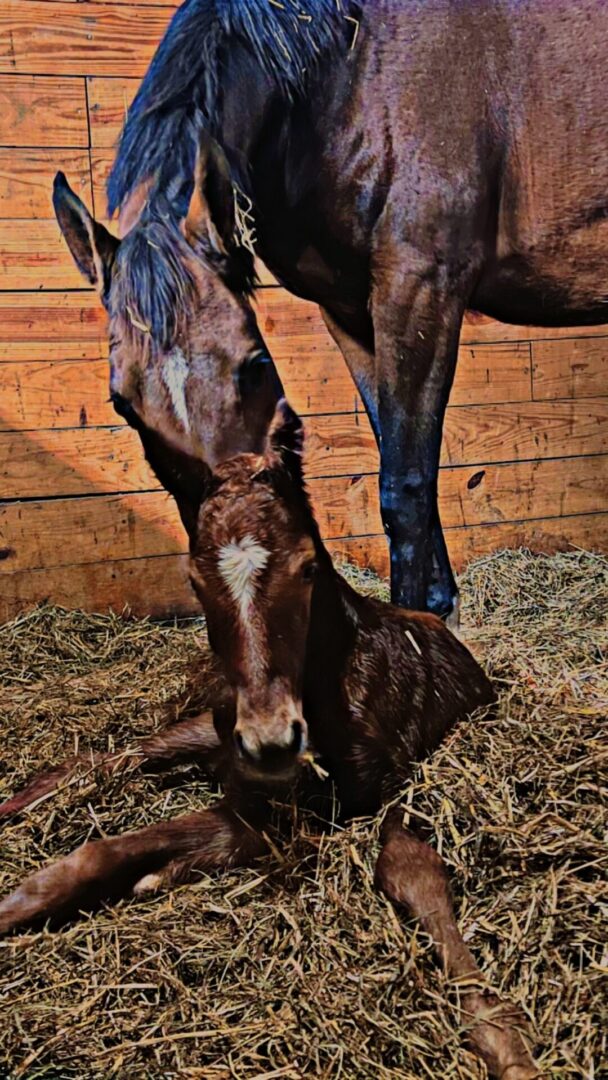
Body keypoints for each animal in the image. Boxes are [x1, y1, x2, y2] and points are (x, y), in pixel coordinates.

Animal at [0, 401, 537, 1075]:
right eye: (195, 580)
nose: (271, 739)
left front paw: (506, 1043)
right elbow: (105, 850)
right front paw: (15, 907)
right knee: (111, 758)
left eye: (307, 567)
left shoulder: (380, 789)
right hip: (202, 732)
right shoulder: (257, 794)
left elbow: (411, 869)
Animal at [97, 0, 604, 626]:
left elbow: (406, 487)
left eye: (254, 368)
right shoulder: (351, 316)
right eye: (122, 403)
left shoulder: (420, 291)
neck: (349, 76)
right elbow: (397, 453)